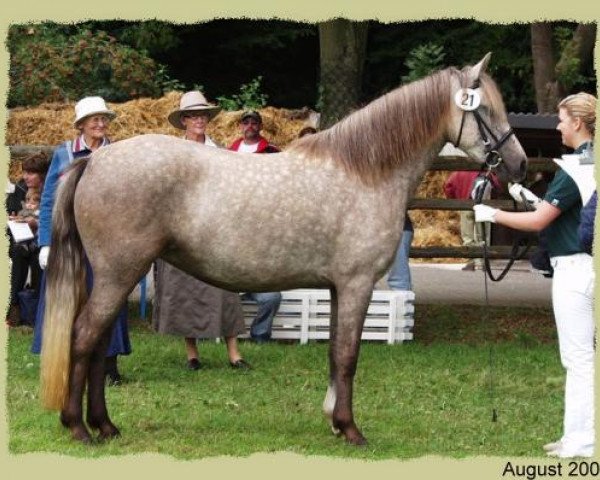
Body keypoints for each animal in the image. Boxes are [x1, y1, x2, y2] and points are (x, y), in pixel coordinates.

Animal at [39, 55, 524, 446]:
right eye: (483, 108)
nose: (518, 164)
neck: (365, 172)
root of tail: (95, 161)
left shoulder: (338, 288)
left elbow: (335, 354)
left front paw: (334, 421)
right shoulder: (357, 285)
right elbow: (348, 356)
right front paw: (351, 429)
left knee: (99, 346)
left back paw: (105, 425)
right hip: (119, 274)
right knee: (84, 338)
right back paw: (79, 428)